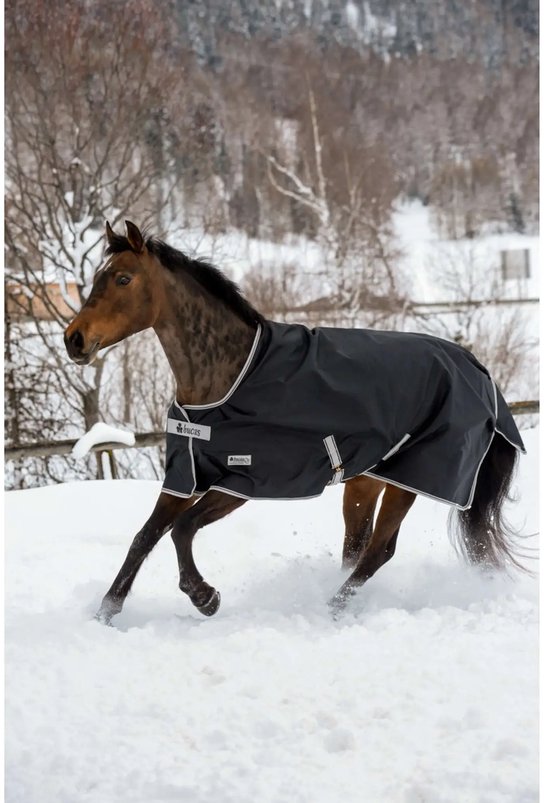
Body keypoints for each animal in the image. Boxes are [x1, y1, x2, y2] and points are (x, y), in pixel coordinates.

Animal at [64, 220, 526, 625]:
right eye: (98, 277)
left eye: (123, 279)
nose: (74, 339)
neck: (230, 376)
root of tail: (479, 370)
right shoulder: (186, 475)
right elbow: (144, 537)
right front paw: (105, 613)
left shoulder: (244, 481)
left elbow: (182, 529)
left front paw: (205, 597)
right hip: (365, 480)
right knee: (358, 548)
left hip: (409, 478)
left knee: (378, 552)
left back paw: (330, 609)